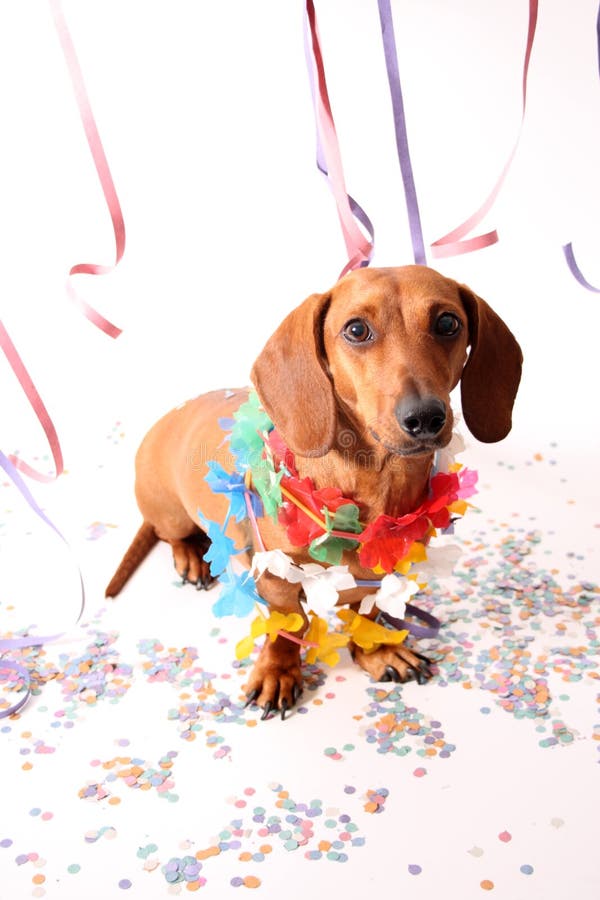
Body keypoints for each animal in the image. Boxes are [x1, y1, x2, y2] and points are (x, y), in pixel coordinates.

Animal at [106, 266, 520, 716]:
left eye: (447, 323)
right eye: (356, 329)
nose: (425, 417)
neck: (373, 485)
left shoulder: (382, 572)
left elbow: (367, 612)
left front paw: (377, 649)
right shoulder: (274, 577)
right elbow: (288, 625)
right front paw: (278, 670)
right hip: (169, 512)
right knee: (172, 535)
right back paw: (192, 558)